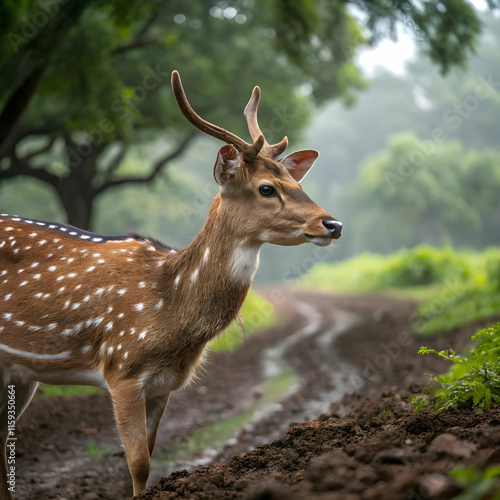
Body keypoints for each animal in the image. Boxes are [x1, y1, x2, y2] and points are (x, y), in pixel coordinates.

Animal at [0, 69, 340, 496]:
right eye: (267, 188)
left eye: (297, 185)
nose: (333, 224)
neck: (169, 309)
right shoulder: (122, 368)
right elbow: (138, 463)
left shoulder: (165, 384)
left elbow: (149, 455)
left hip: (19, 372)